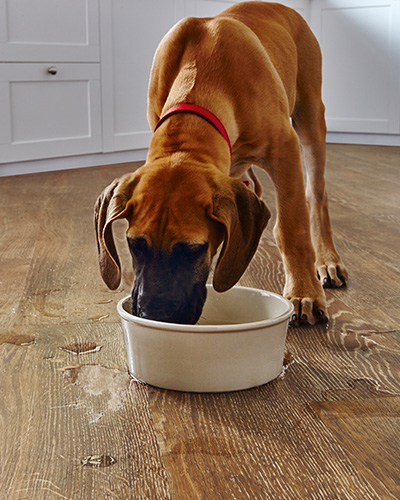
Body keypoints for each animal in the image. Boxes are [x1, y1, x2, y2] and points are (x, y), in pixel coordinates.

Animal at [94, 0, 346, 326]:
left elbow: (293, 227)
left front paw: (304, 292)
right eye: (135, 245)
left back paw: (327, 260)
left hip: (310, 114)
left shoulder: (284, 148)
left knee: (316, 194)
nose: (153, 315)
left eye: (193, 250)